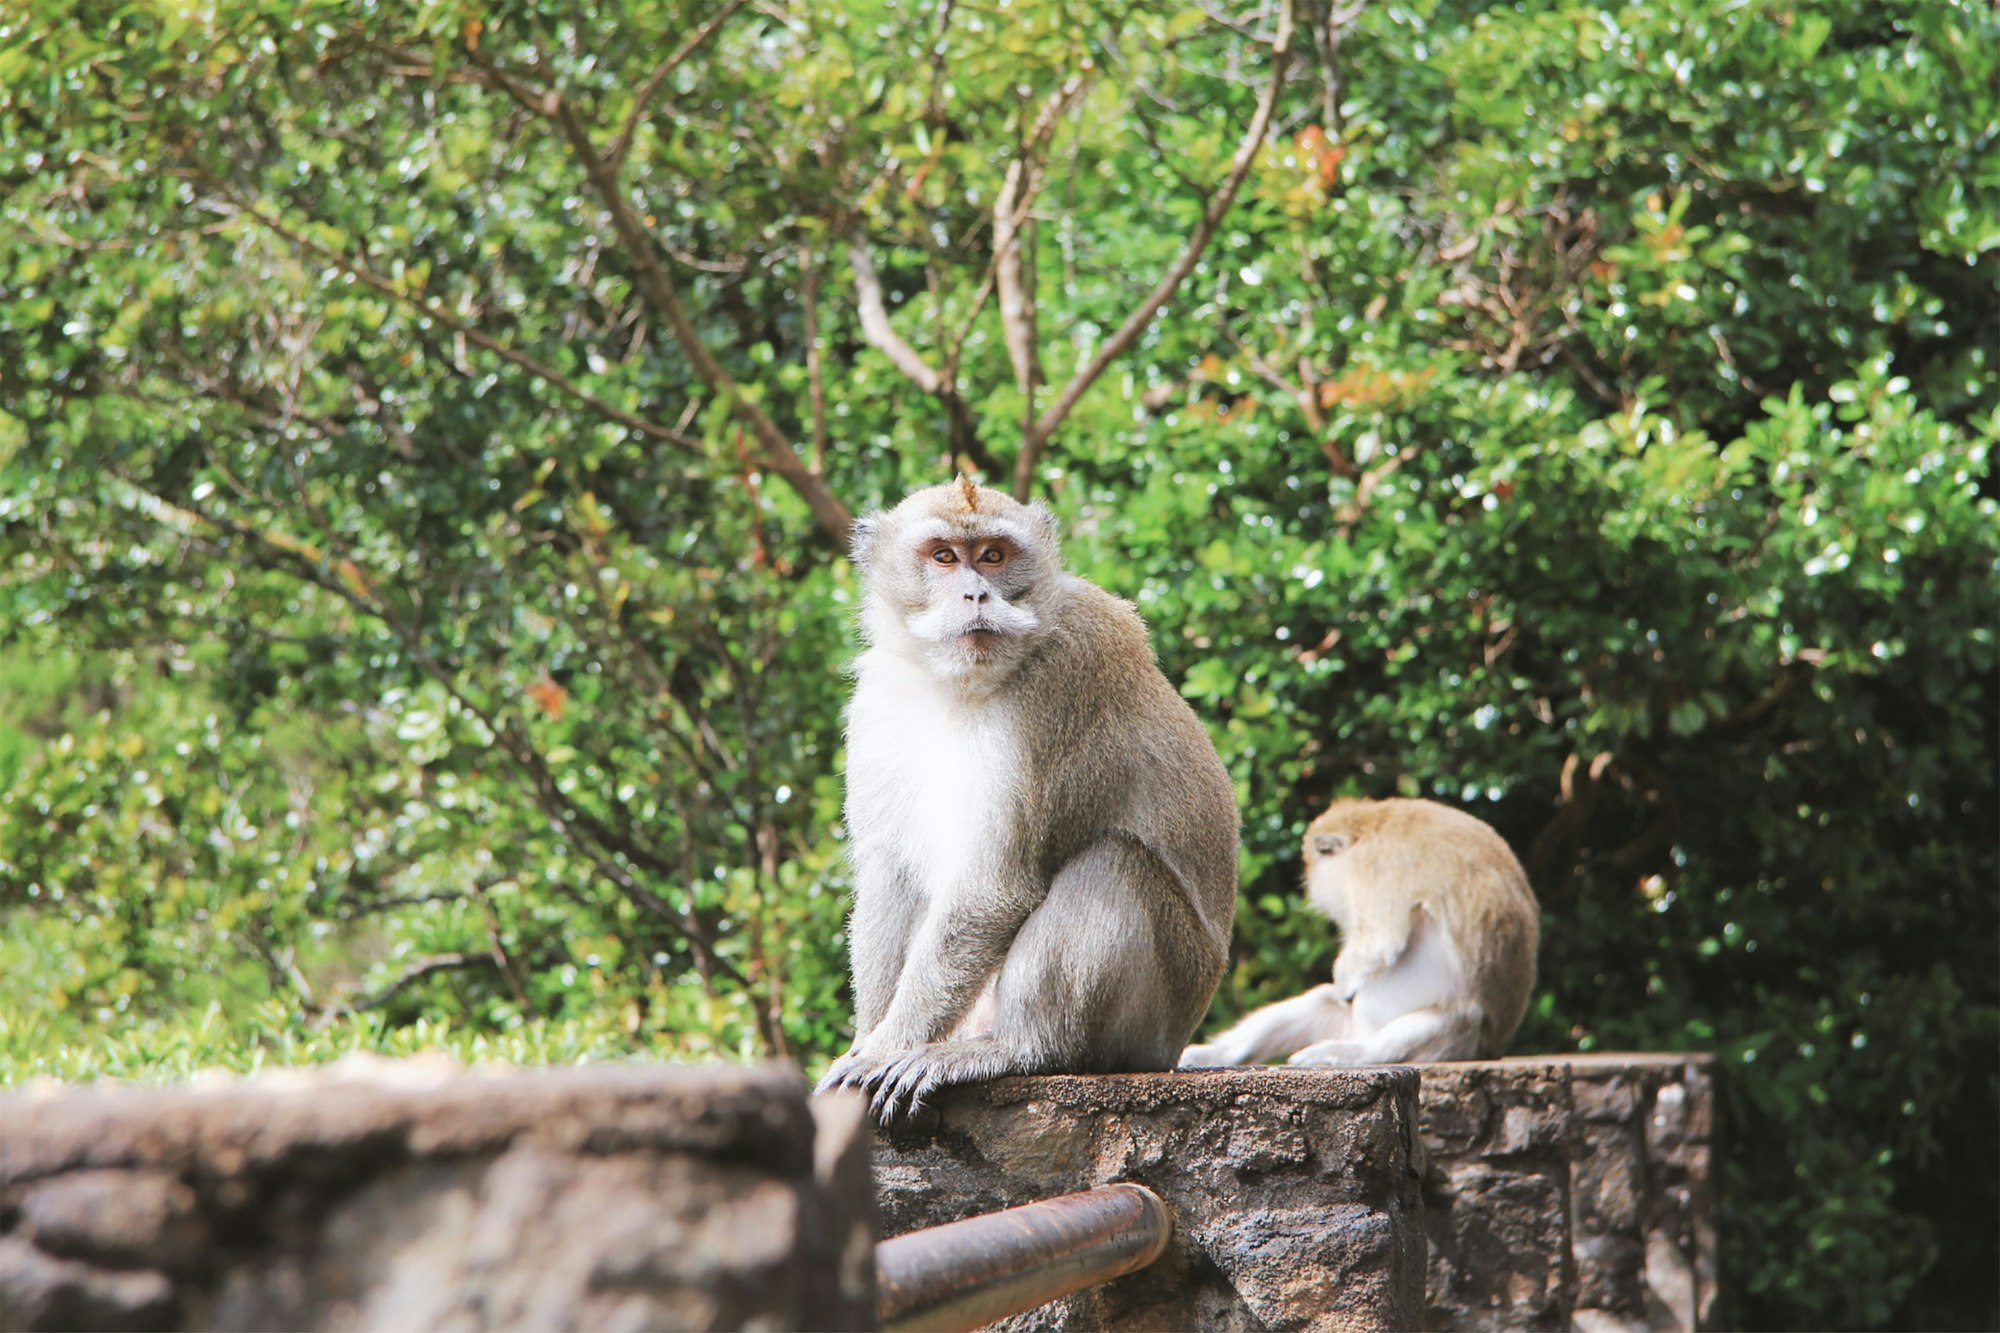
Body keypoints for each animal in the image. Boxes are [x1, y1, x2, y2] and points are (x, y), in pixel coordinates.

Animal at [812, 472, 1232, 1112]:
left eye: (993, 556)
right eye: (943, 557)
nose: (977, 596)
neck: (954, 685)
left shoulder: (1059, 683)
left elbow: (993, 888)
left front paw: (886, 1045)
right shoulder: (880, 696)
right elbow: (890, 876)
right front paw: (869, 1035)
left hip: (1160, 1009)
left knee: (1114, 862)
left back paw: (1022, 1049)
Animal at [1176, 792, 1536, 1064]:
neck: (1374, 823)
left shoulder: (1375, 865)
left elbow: (1379, 943)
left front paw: (1345, 981)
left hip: (1464, 1042)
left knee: (1456, 1018)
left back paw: (1352, 1052)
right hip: (1345, 1023)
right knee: (1318, 1004)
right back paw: (1216, 1055)